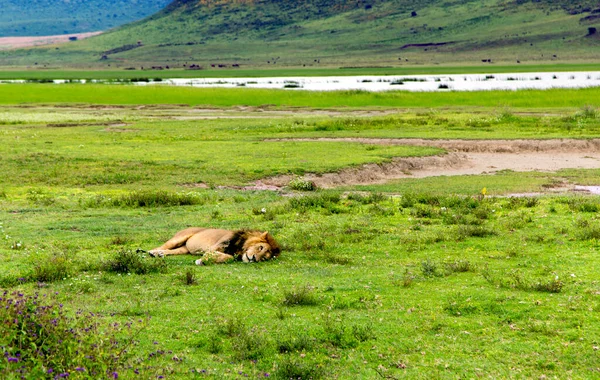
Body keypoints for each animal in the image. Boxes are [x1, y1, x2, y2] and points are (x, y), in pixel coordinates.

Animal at [150, 227, 282, 266]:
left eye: (263, 258)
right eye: (260, 248)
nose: (254, 259)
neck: (240, 248)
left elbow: (228, 257)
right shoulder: (216, 246)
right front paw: (202, 260)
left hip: (184, 249)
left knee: (171, 251)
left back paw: (160, 254)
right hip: (178, 238)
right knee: (163, 246)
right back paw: (151, 252)